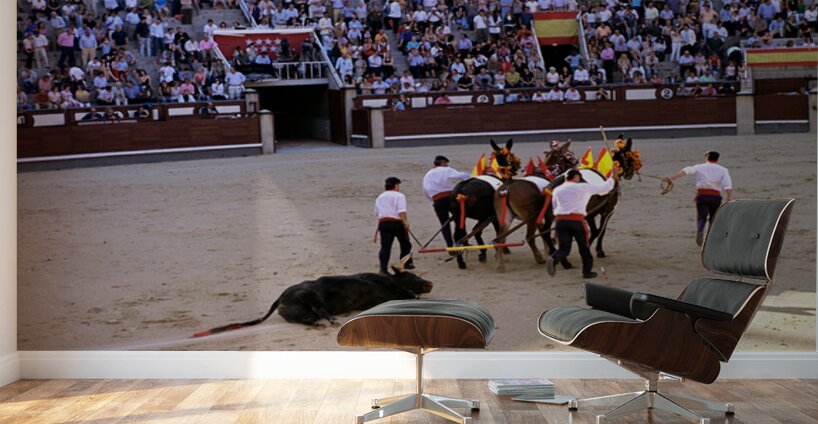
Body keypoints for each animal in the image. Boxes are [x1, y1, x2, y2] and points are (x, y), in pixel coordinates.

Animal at [192, 261, 433, 336]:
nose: (429, 283)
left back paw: (320, 324)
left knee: (309, 317)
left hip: (299, 311)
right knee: (319, 310)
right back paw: (331, 320)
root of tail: (280, 298)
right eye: (411, 275)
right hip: (312, 296)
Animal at [450, 139, 521, 269]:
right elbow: (499, 231)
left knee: (459, 236)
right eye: (511, 155)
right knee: (475, 231)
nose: (516, 167)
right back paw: (481, 254)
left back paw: (462, 262)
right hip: (483, 216)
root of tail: (461, 192)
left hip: (459, 217)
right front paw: (504, 250)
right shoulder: (495, 216)